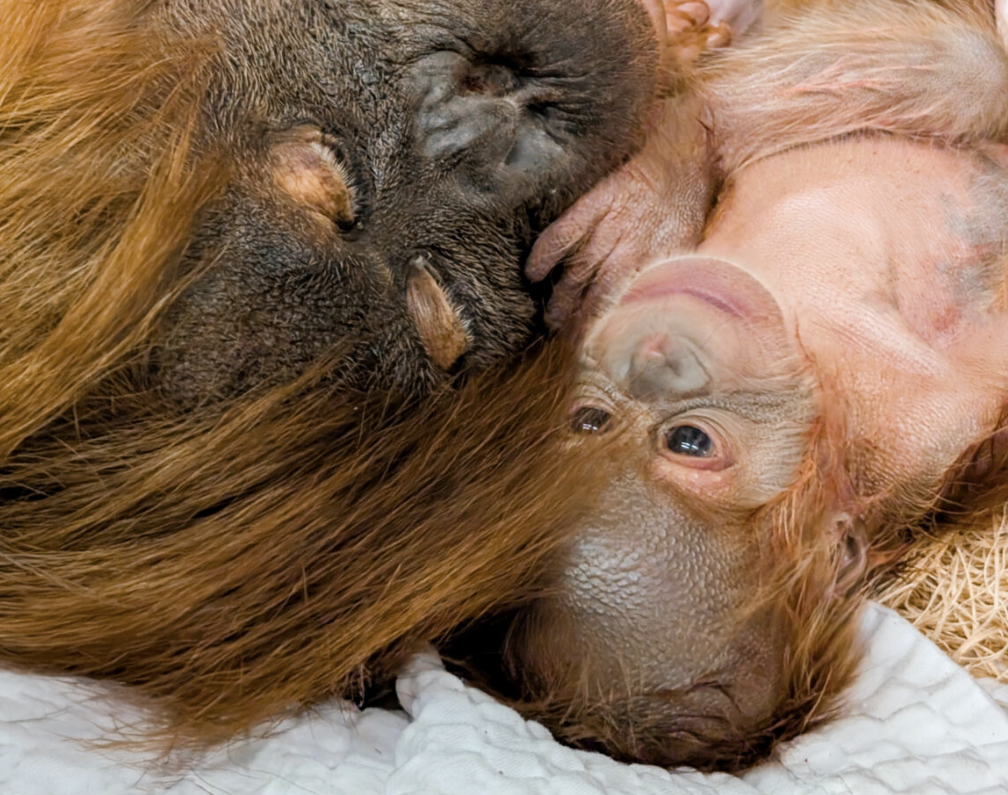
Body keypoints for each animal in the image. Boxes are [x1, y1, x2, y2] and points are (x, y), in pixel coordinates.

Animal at [497, 0, 1008, 772]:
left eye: (689, 442)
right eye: (590, 420)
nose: (657, 355)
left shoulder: (920, 440)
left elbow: (960, 73)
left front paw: (663, 172)